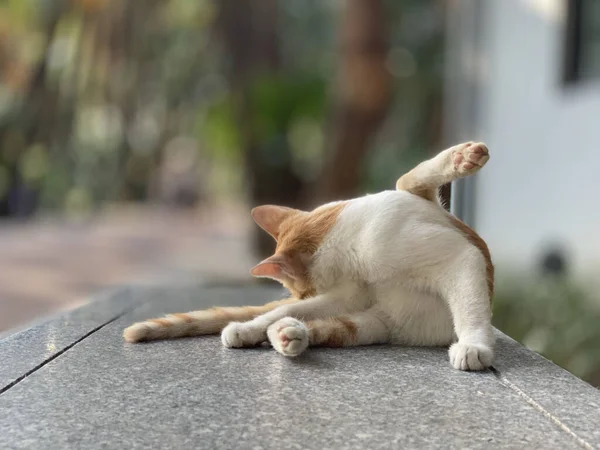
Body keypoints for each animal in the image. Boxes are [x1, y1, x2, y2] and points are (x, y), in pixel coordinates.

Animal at [124, 142, 494, 370]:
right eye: (302, 289)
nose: (302, 294)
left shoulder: (458, 259)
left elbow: (471, 309)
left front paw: (474, 345)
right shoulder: (349, 293)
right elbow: (285, 308)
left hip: (376, 318)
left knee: (410, 179)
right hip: (367, 320)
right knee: (294, 319)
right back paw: (274, 333)